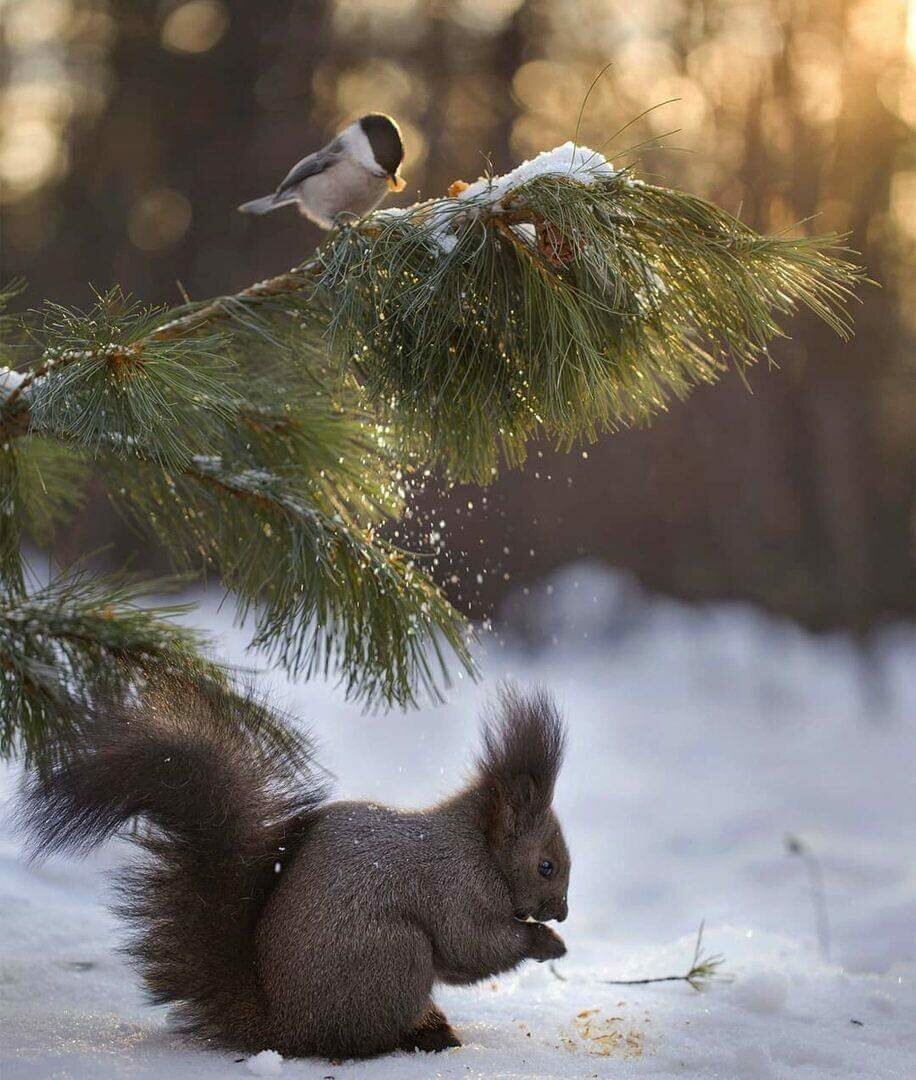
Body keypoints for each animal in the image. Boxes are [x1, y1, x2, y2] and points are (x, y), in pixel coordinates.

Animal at [20, 681, 570, 1059]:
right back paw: (413, 1039)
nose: (562, 913)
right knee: (360, 1040)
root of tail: (283, 1026)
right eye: (546, 867)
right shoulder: (456, 886)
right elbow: (471, 945)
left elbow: (462, 959)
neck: (480, 846)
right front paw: (544, 943)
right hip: (393, 956)